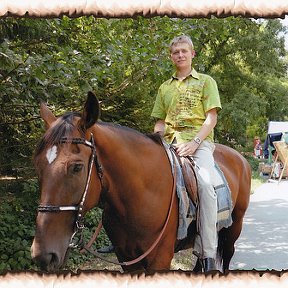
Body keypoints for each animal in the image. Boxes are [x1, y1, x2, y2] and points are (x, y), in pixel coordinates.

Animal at [31, 91, 250, 272]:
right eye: (37, 165)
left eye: (77, 167)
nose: (43, 255)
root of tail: (241, 158)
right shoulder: (127, 260)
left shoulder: (160, 259)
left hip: (233, 229)